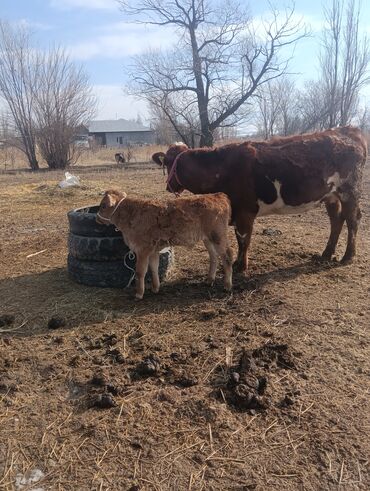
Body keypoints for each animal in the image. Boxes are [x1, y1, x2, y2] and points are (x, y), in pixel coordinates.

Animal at [97, 190, 233, 300]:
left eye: (103, 206)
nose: (97, 219)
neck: (131, 215)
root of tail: (217, 195)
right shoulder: (153, 250)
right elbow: (154, 267)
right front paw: (155, 288)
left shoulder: (142, 249)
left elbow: (140, 272)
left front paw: (139, 294)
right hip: (208, 239)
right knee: (214, 257)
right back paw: (209, 280)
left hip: (218, 237)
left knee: (227, 257)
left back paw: (227, 285)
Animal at [152, 127, 366, 272]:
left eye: (169, 162)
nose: (168, 186)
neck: (221, 168)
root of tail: (348, 130)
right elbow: (241, 239)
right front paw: (239, 263)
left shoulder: (245, 210)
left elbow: (243, 239)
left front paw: (240, 266)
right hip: (331, 195)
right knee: (336, 220)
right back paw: (326, 254)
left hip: (350, 191)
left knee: (352, 220)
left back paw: (348, 257)